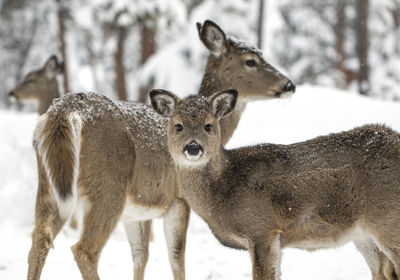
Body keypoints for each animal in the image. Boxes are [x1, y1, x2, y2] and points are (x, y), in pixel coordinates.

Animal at [25, 20, 294, 280]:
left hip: (50, 184)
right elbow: (176, 258)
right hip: (107, 186)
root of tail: (64, 111)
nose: (289, 84)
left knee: (40, 238)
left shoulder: (138, 209)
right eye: (251, 61)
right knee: (85, 250)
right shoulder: (178, 198)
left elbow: (140, 256)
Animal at [149, 88, 400, 280]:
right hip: (363, 233)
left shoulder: (261, 228)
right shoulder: (275, 239)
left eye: (208, 125)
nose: (193, 147)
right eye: (178, 126)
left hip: (387, 217)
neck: (222, 189)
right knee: (383, 272)